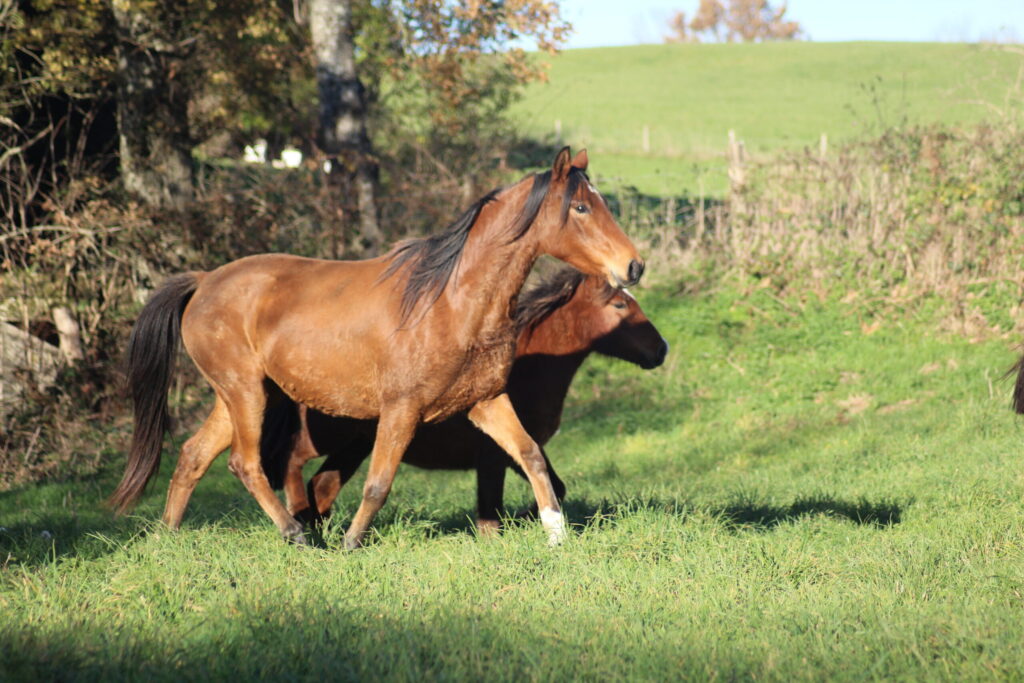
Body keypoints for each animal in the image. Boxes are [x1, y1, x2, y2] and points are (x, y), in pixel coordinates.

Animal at [263, 267, 668, 533]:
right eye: (620, 306)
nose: (660, 350)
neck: (526, 368)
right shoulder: (492, 455)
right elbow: (491, 513)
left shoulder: (520, 447)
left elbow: (551, 485)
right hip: (329, 436)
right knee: (293, 461)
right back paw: (299, 522)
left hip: (357, 446)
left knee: (323, 487)